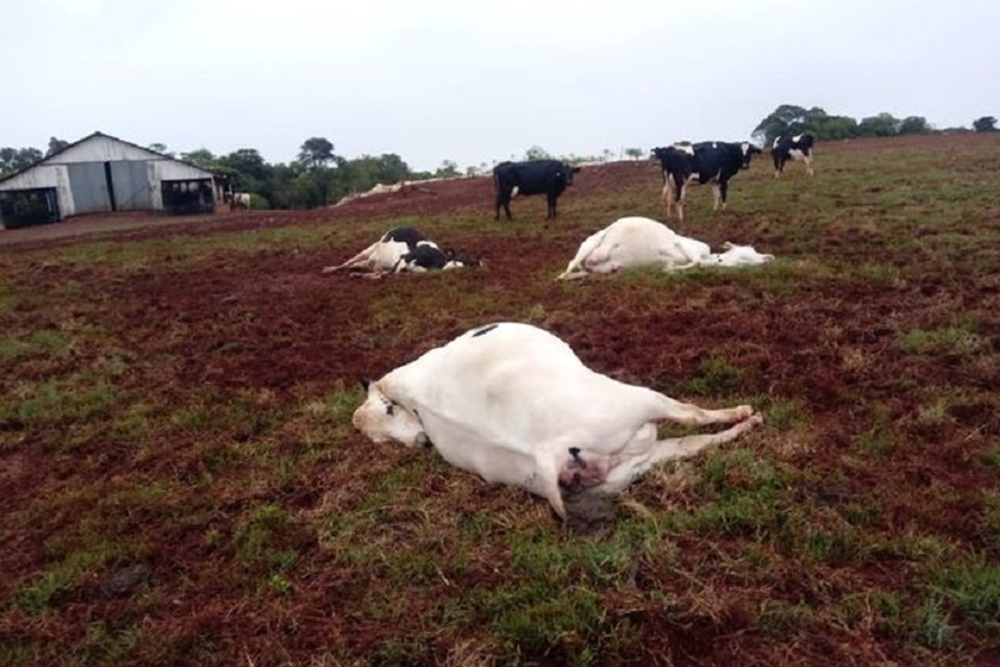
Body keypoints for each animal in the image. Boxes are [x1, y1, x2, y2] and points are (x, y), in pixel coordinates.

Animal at [320, 226, 476, 276]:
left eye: (468, 264)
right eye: (456, 260)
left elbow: (385, 274)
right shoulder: (404, 258)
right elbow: (387, 274)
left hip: (369, 261)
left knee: (359, 266)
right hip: (368, 250)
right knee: (348, 263)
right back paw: (329, 269)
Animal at [348, 320, 760, 520]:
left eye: (388, 413)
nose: (418, 443)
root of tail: (546, 451)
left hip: (630, 468)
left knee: (697, 443)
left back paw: (744, 426)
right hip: (636, 401)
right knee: (694, 419)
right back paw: (746, 416)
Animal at [556, 217, 772, 280]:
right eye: (747, 253)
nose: (768, 258)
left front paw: (671, 269)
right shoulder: (686, 245)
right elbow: (693, 260)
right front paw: (674, 269)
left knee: (581, 271)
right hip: (592, 243)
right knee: (573, 266)